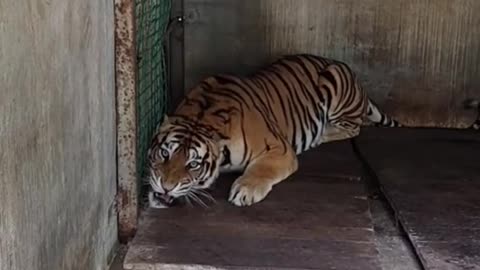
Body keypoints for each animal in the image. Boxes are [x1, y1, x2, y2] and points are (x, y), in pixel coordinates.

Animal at [146, 53, 402, 208]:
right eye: (164, 153)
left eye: (194, 164)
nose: (166, 186)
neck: (202, 116)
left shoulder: (280, 149)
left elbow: (262, 169)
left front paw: (245, 191)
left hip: (335, 81)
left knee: (355, 126)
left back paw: (323, 134)